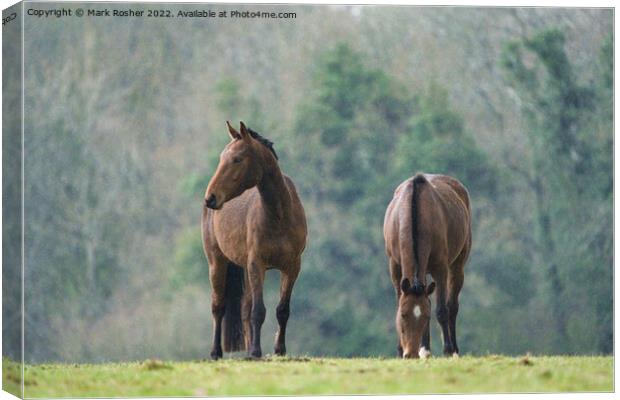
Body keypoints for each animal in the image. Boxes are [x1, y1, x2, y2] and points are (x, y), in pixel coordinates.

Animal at [202, 121, 306, 360]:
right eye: (222, 157)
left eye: (237, 159)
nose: (210, 197)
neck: (279, 215)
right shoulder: (257, 264)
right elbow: (258, 311)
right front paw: (257, 351)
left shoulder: (292, 266)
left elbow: (282, 310)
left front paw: (279, 350)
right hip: (217, 263)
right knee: (218, 306)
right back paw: (216, 352)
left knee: (244, 309)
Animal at [382, 173, 470, 358]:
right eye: (403, 315)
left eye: (426, 318)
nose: (410, 353)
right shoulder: (395, 267)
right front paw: (403, 351)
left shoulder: (440, 268)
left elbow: (442, 310)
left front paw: (448, 350)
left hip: (457, 266)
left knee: (452, 306)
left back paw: (454, 350)